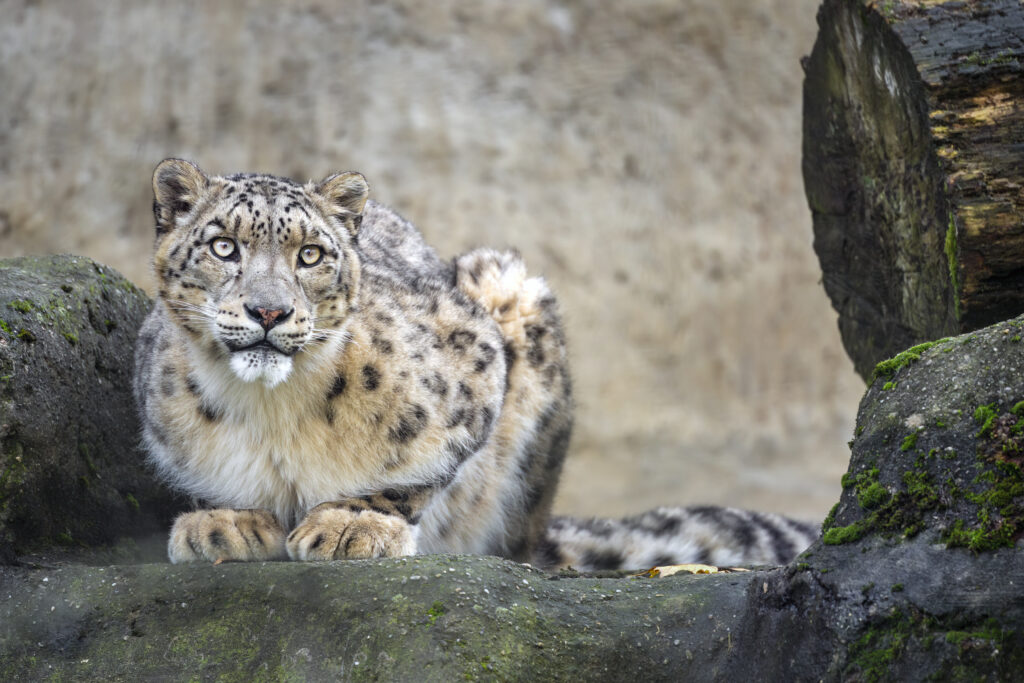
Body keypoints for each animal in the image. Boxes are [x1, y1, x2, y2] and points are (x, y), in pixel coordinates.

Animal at [134, 158, 818, 570]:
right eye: (224, 246)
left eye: (310, 255)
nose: (270, 311)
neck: (270, 409)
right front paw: (222, 522)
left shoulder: (472, 364)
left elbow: (419, 472)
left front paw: (351, 526)